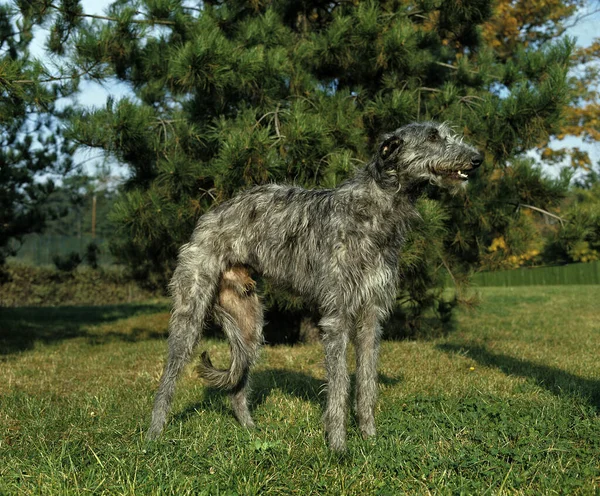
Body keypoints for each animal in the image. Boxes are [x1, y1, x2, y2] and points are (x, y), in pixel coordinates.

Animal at [148, 121, 486, 454]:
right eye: (433, 137)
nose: (478, 158)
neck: (376, 209)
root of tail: (209, 215)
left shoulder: (371, 315)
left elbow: (367, 381)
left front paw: (369, 437)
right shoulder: (337, 316)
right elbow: (339, 384)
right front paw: (338, 447)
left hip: (249, 324)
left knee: (238, 382)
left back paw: (250, 430)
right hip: (191, 312)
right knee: (168, 377)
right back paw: (154, 435)